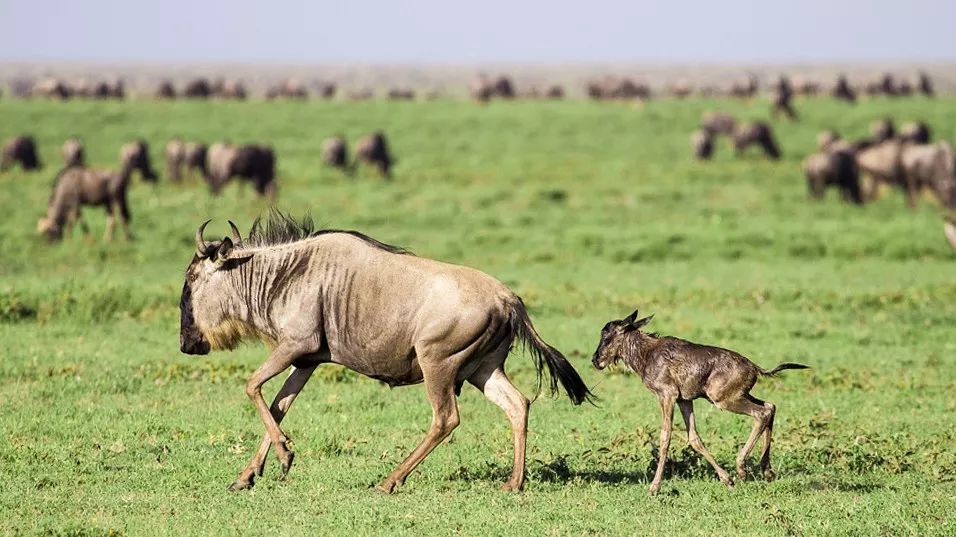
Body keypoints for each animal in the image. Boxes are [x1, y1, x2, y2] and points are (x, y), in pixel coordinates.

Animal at [592, 310, 808, 494]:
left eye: (606, 336)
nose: (595, 360)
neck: (645, 354)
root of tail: (755, 367)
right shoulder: (684, 400)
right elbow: (694, 438)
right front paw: (727, 480)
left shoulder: (667, 395)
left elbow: (665, 437)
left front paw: (654, 487)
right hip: (739, 395)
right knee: (770, 406)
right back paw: (767, 472)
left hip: (722, 399)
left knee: (762, 413)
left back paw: (741, 468)